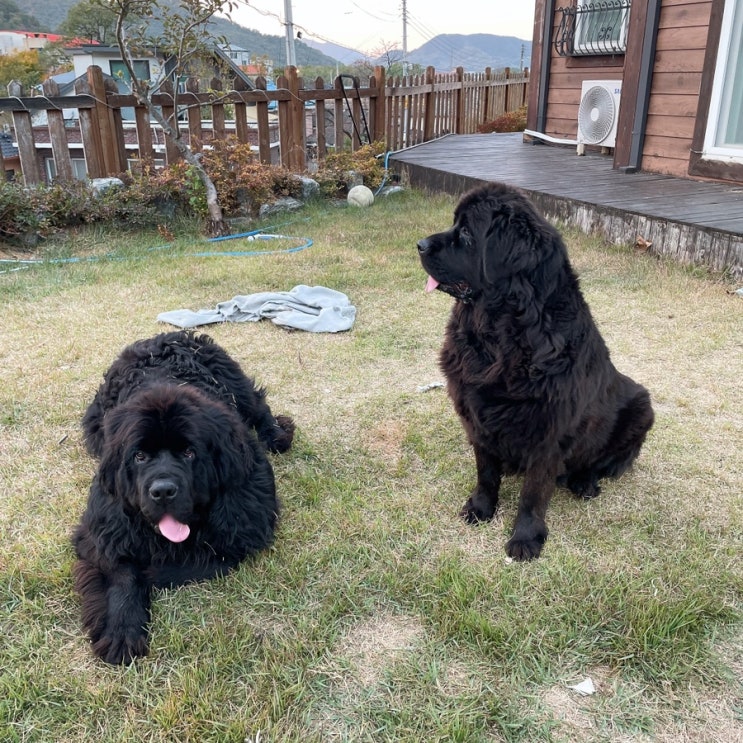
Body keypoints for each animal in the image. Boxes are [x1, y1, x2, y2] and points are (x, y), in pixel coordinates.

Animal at [72, 330, 294, 664]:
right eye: (139, 456)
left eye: (189, 453)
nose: (163, 490)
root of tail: (162, 336)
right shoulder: (105, 524)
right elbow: (120, 569)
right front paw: (121, 630)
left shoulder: (245, 520)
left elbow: (200, 560)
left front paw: (149, 573)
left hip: (235, 381)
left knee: (258, 406)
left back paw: (278, 434)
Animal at [417, 182, 654, 560]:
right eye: (455, 223)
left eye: (466, 233)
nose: (420, 245)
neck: (501, 334)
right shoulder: (476, 414)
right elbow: (485, 472)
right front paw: (481, 508)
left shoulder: (549, 429)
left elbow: (533, 492)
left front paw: (526, 538)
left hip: (642, 405)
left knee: (602, 461)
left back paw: (584, 481)